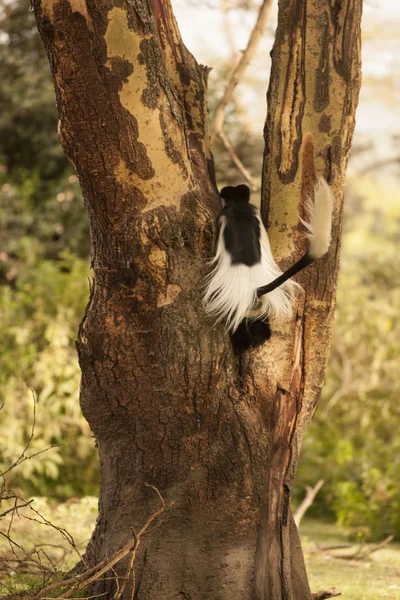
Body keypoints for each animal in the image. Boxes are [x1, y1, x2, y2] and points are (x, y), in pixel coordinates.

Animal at [203, 176, 334, 350]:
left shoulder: (223, 217)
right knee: (259, 323)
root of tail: (255, 288)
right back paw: (261, 337)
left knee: (237, 324)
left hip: (234, 300)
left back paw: (242, 345)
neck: (239, 205)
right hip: (258, 305)